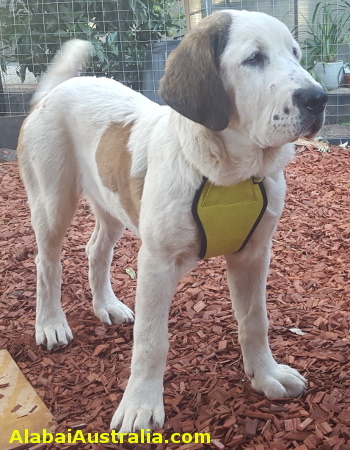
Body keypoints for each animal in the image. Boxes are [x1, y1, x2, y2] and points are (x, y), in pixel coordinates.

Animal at [18, 10, 326, 432]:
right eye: (253, 58)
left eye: (295, 53)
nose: (318, 99)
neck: (228, 173)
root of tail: (52, 93)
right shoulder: (157, 262)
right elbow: (151, 341)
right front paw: (141, 405)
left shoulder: (254, 254)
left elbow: (254, 320)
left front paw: (266, 375)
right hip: (52, 203)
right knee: (46, 262)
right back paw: (49, 323)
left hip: (112, 205)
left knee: (96, 249)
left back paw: (107, 306)